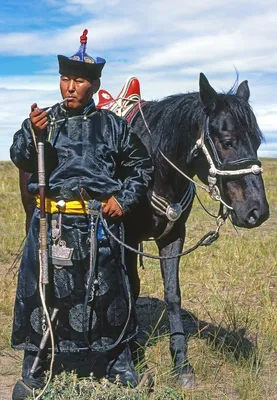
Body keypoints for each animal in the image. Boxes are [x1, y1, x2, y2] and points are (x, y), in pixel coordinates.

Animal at [16, 72, 268, 388]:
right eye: (227, 140)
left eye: (257, 141)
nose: (258, 212)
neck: (157, 167)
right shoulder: (125, 237)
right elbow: (130, 289)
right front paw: (131, 349)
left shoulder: (174, 236)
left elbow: (172, 296)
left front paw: (181, 363)